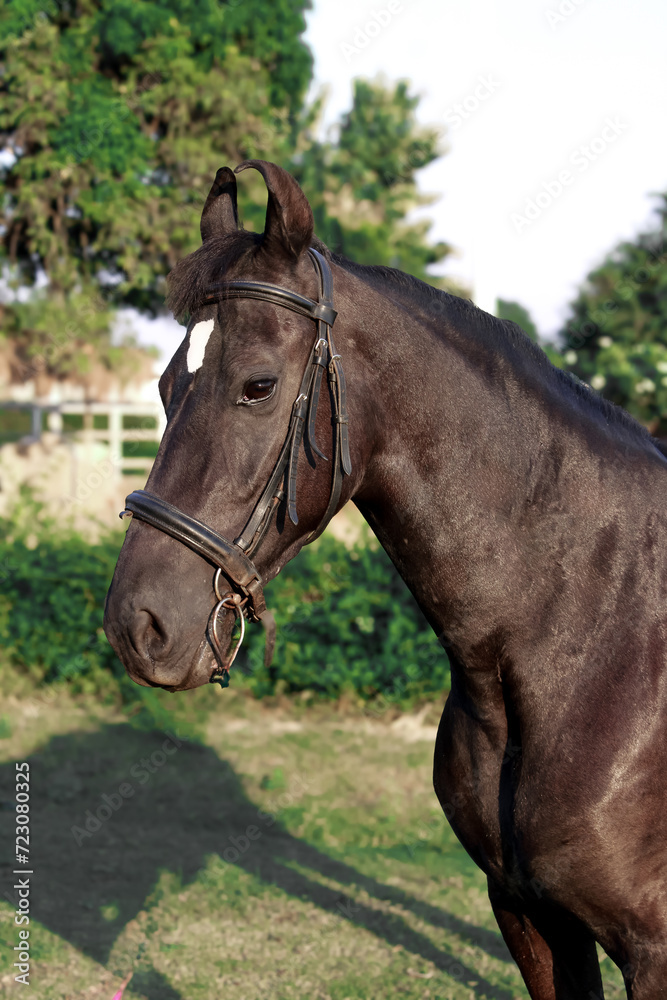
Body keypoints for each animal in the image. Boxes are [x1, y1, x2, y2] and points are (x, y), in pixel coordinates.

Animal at [103, 160, 667, 996]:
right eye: (168, 384)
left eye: (258, 385)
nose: (137, 624)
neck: (595, 641)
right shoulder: (530, 916)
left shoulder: (649, 948)